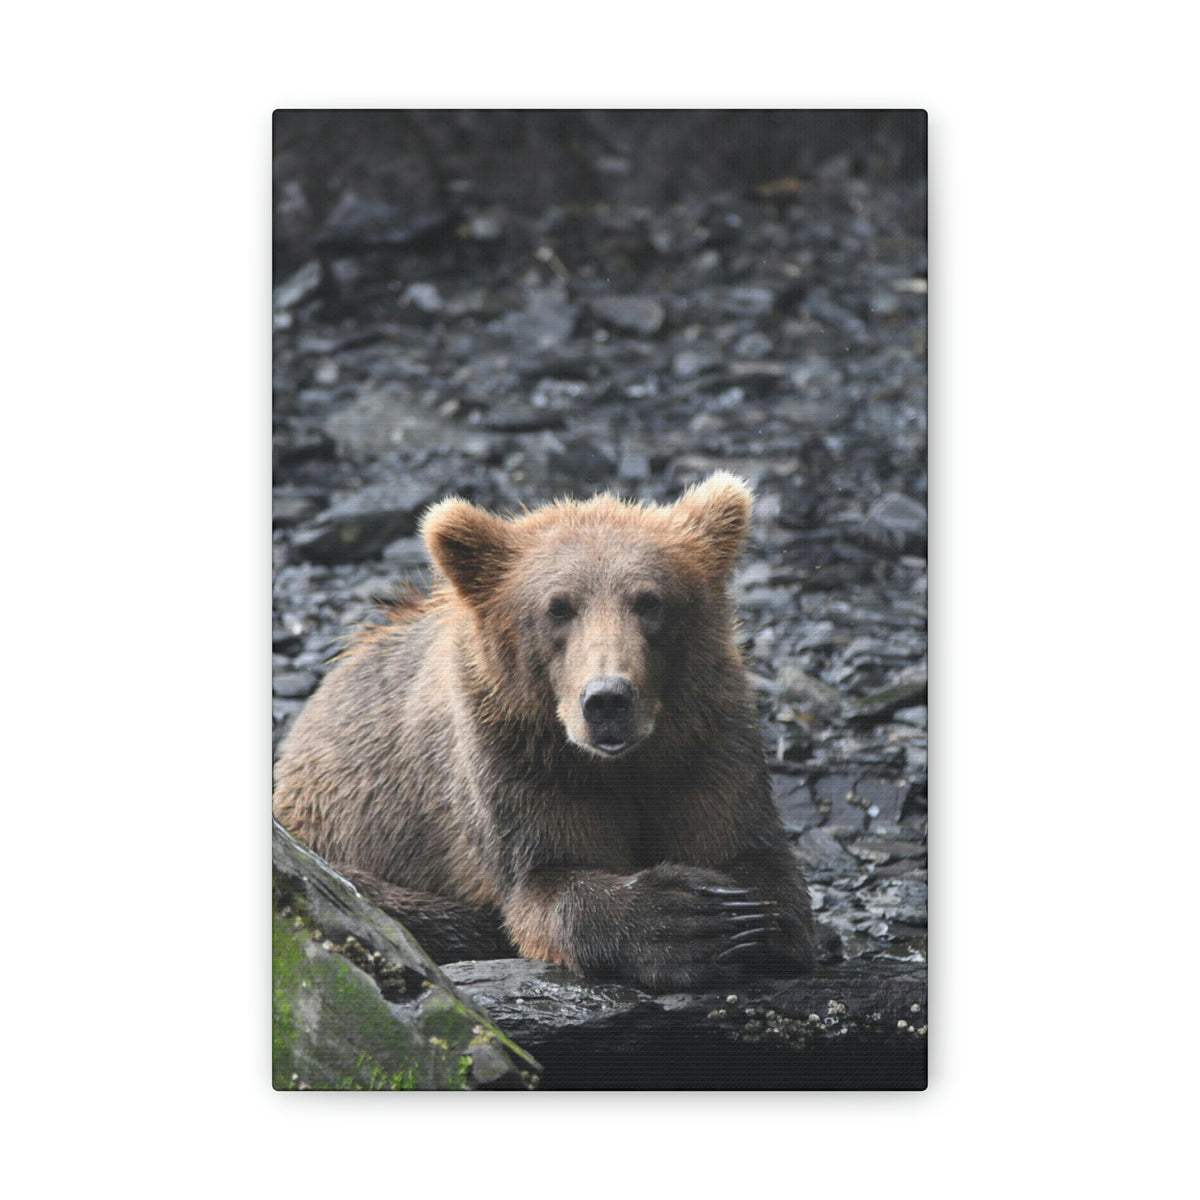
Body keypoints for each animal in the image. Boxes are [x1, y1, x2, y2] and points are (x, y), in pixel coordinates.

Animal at [273, 472, 816, 990]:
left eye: (649, 601)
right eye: (558, 607)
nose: (608, 699)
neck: (620, 764)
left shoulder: (706, 741)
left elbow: (751, 854)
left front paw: (743, 918)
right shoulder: (517, 760)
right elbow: (546, 881)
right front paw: (686, 920)